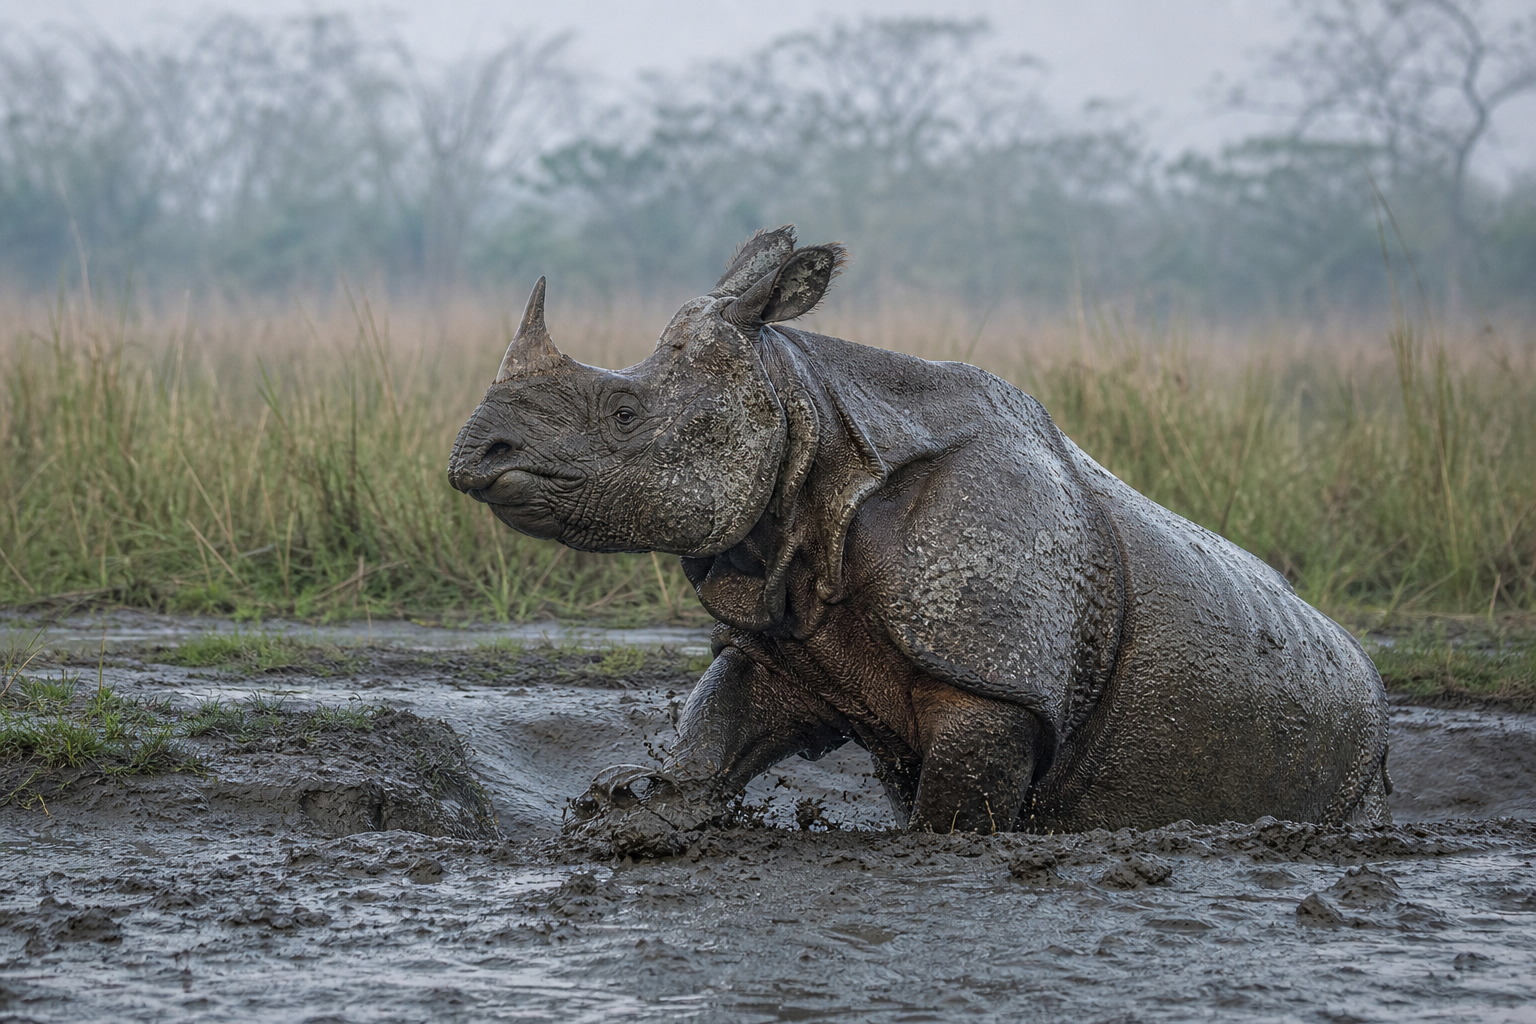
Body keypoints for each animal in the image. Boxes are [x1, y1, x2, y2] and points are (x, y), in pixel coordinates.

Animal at [448, 226, 1391, 837]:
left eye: (623, 410)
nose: (475, 454)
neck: (808, 417)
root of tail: (1365, 669)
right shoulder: (785, 619)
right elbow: (719, 723)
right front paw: (630, 804)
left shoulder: (998, 678)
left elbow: (958, 809)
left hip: (1350, 736)